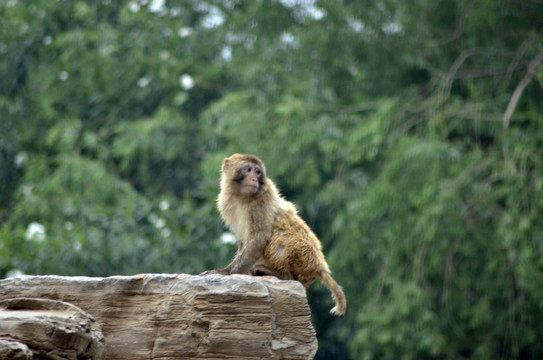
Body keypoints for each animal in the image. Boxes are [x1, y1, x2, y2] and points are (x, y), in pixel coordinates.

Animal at [202, 153, 346, 314]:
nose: (254, 179)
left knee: (280, 237)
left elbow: (259, 237)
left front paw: (226, 272)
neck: (241, 197)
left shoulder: (261, 200)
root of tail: (320, 267)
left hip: (305, 259)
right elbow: (244, 240)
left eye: (258, 172)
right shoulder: (227, 203)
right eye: (248, 169)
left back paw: (282, 275)